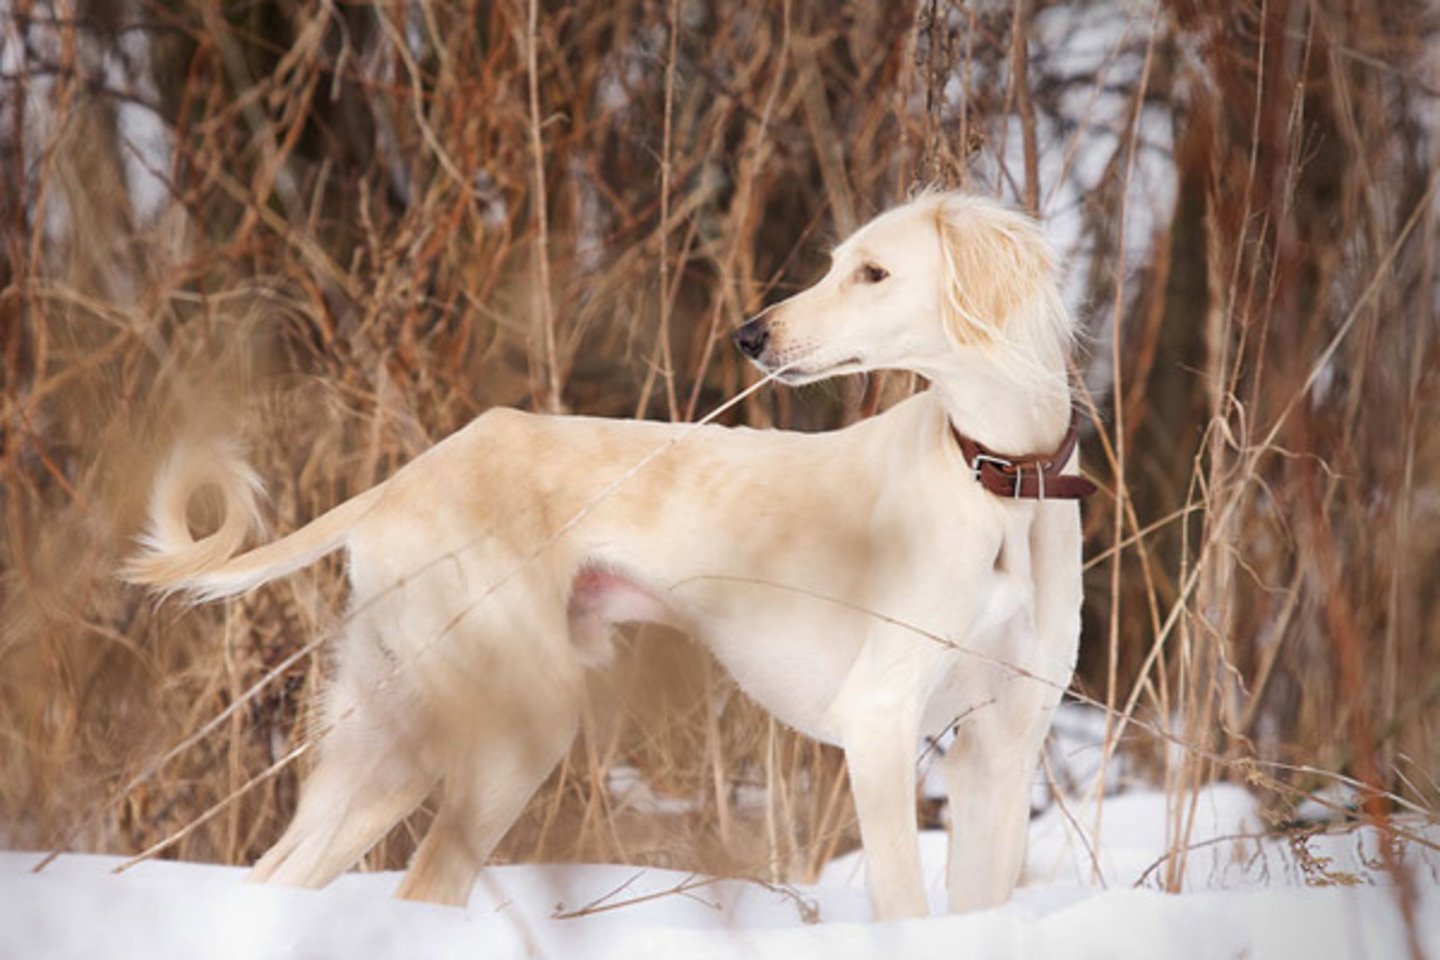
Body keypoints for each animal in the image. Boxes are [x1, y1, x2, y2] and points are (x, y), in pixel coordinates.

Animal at [123, 189, 1088, 921]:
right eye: (835, 262)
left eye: (874, 272)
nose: (749, 337)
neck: (997, 479)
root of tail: (404, 480)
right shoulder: (878, 722)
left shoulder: (999, 749)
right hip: (513, 723)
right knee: (422, 885)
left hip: (388, 734)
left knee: (276, 875)